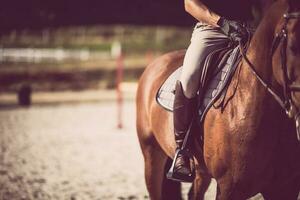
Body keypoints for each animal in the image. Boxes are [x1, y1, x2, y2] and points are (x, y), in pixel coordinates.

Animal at [136, 0, 300, 199]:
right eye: (293, 46)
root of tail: (155, 64)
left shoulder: (285, 187)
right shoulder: (229, 188)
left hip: (200, 171)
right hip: (152, 156)